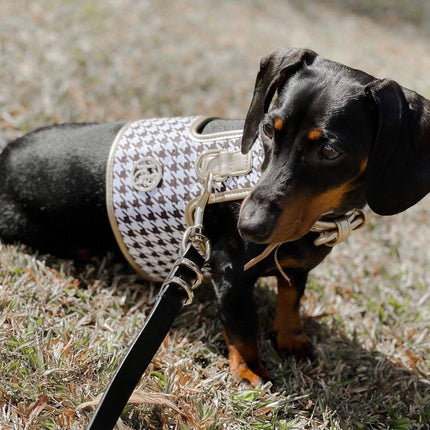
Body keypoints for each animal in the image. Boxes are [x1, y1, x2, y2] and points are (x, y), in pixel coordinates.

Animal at [0, 47, 428, 386]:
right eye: (269, 129)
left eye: (330, 150)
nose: (249, 225)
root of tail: (5, 156)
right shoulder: (230, 272)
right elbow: (243, 327)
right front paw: (251, 371)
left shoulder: (296, 267)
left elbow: (292, 299)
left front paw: (292, 339)